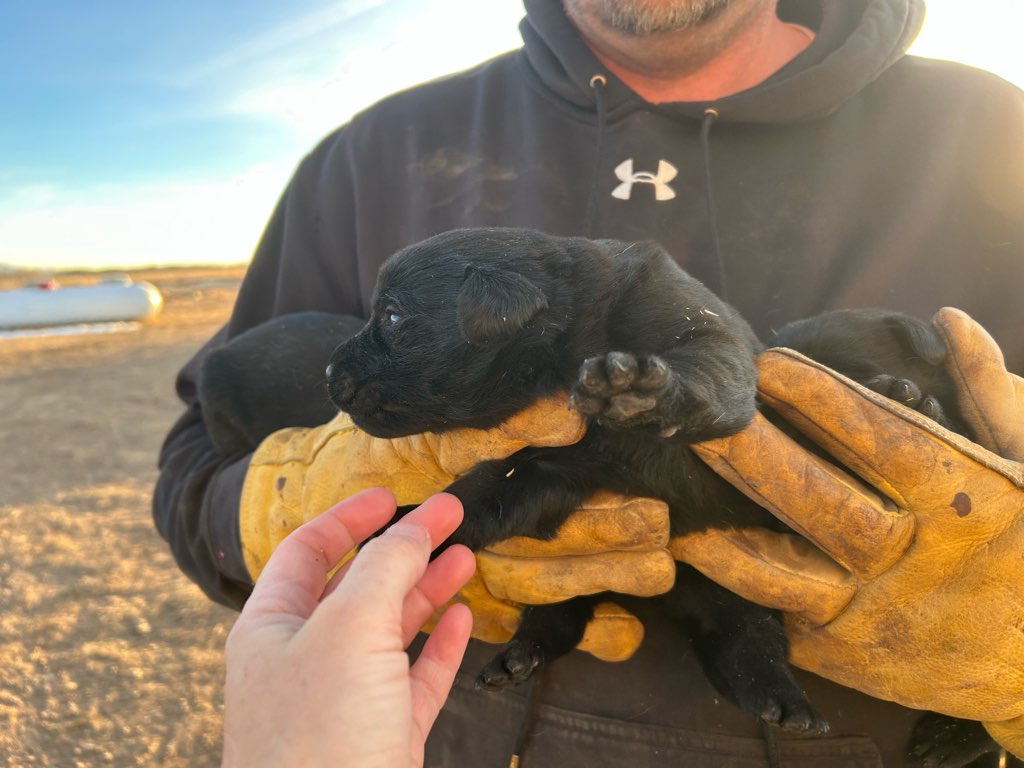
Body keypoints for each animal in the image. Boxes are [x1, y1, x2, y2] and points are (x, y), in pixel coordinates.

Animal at [327, 227, 831, 733]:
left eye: (392, 315)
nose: (328, 371)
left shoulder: (696, 327)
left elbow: (705, 370)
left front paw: (637, 391)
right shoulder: (550, 465)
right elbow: (478, 498)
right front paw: (404, 525)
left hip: (731, 588)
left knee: (748, 635)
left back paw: (787, 705)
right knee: (564, 616)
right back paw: (518, 659)